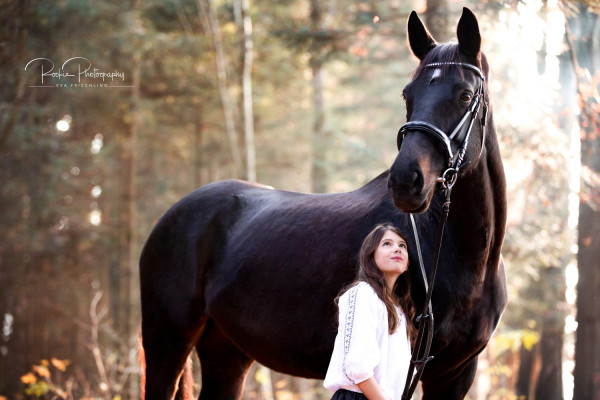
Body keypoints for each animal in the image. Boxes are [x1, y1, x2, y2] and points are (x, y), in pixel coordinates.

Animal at [139, 7, 506, 400]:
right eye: (408, 94)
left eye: (465, 95)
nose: (406, 181)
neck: (462, 256)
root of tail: (172, 216)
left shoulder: (455, 373)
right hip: (167, 343)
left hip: (226, 351)